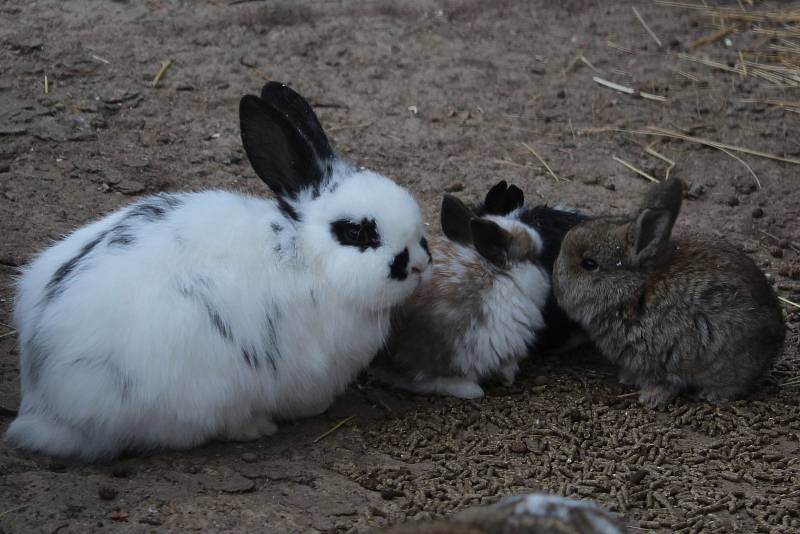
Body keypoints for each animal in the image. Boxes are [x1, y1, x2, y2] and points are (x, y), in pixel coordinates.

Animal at [552, 178, 784, 408]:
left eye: (589, 264)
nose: (555, 282)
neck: (633, 292)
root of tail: (776, 341)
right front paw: (627, 378)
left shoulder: (664, 356)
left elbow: (666, 381)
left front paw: (650, 398)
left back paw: (713, 395)